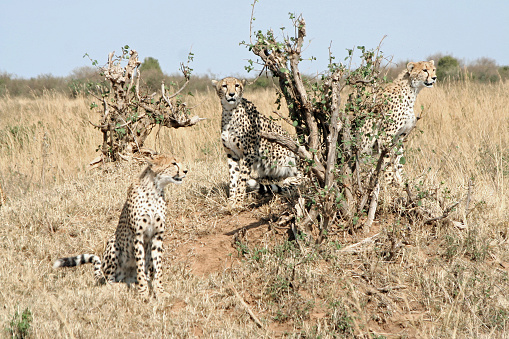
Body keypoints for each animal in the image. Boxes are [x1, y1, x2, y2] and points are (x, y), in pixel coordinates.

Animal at [53, 155, 187, 298]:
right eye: (173, 163)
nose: (186, 171)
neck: (154, 190)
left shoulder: (157, 236)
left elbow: (158, 267)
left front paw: (160, 291)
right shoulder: (137, 236)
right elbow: (140, 266)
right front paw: (143, 293)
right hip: (113, 243)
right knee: (109, 280)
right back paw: (119, 286)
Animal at [212, 76, 300, 205]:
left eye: (237, 85)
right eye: (224, 86)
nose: (232, 94)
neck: (230, 111)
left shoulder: (250, 152)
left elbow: (242, 178)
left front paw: (238, 201)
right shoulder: (231, 153)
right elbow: (233, 177)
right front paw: (231, 201)